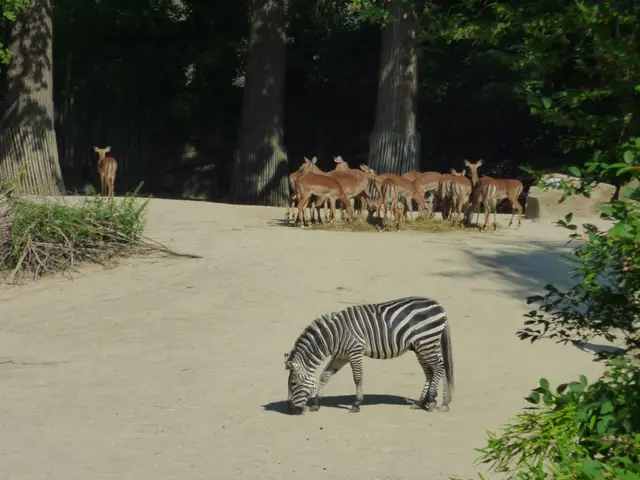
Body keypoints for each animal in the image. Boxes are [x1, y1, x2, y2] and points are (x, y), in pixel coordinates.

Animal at [284, 296, 454, 415]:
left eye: (293, 383)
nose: (291, 410)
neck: (334, 336)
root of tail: (439, 305)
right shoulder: (341, 356)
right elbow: (325, 375)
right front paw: (316, 403)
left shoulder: (355, 352)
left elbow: (357, 378)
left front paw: (356, 404)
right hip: (423, 346)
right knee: (433, 371)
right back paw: (425, 402)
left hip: (426, 342)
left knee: (439, 366)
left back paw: (431, 401)